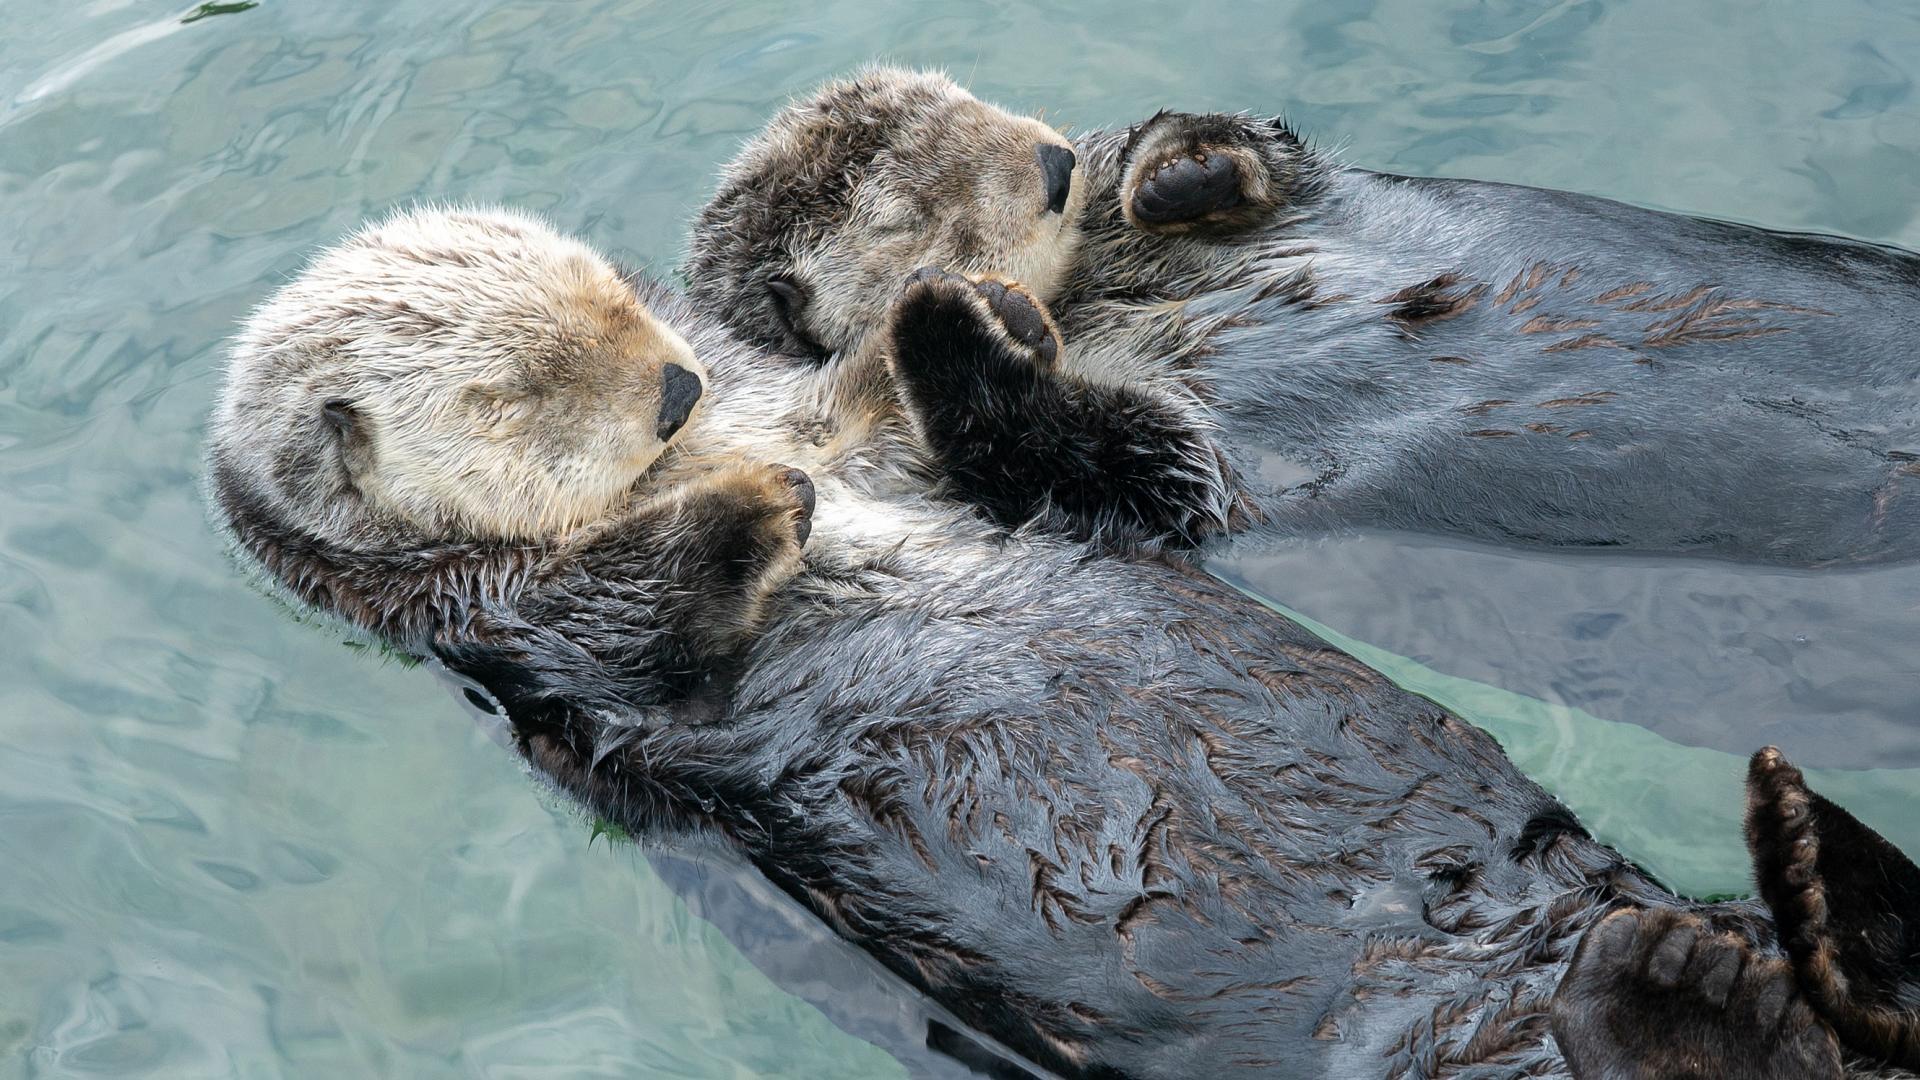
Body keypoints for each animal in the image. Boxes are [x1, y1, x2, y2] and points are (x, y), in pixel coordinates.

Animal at [210, 205, 1920, 1068]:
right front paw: (753, 501)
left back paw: (1793, 892)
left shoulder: (1038, 483)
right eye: (515, 390)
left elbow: (1127, 465)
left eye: (613, 297)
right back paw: (1697, 985)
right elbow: (630, 633)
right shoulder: (506, 634)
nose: (685, 392)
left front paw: (950, 321)